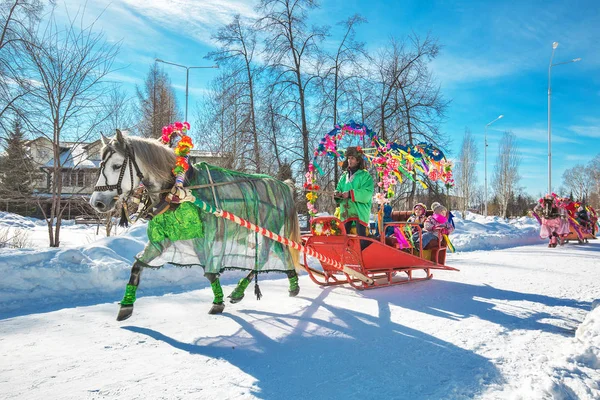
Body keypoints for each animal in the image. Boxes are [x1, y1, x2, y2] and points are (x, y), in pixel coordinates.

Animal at [90, 131, 300, 322]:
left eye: (117, 166)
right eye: (101, 165)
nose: (97, 202)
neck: (179, 189)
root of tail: (280, 184)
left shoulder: (204, 238)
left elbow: (209, 272)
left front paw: (217, 302)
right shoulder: (162, 239)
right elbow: (137, 265)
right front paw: (126, 305)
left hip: (269, 228)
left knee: (273, 254)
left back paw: (282, 285)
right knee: (272, 254)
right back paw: (261, 288)